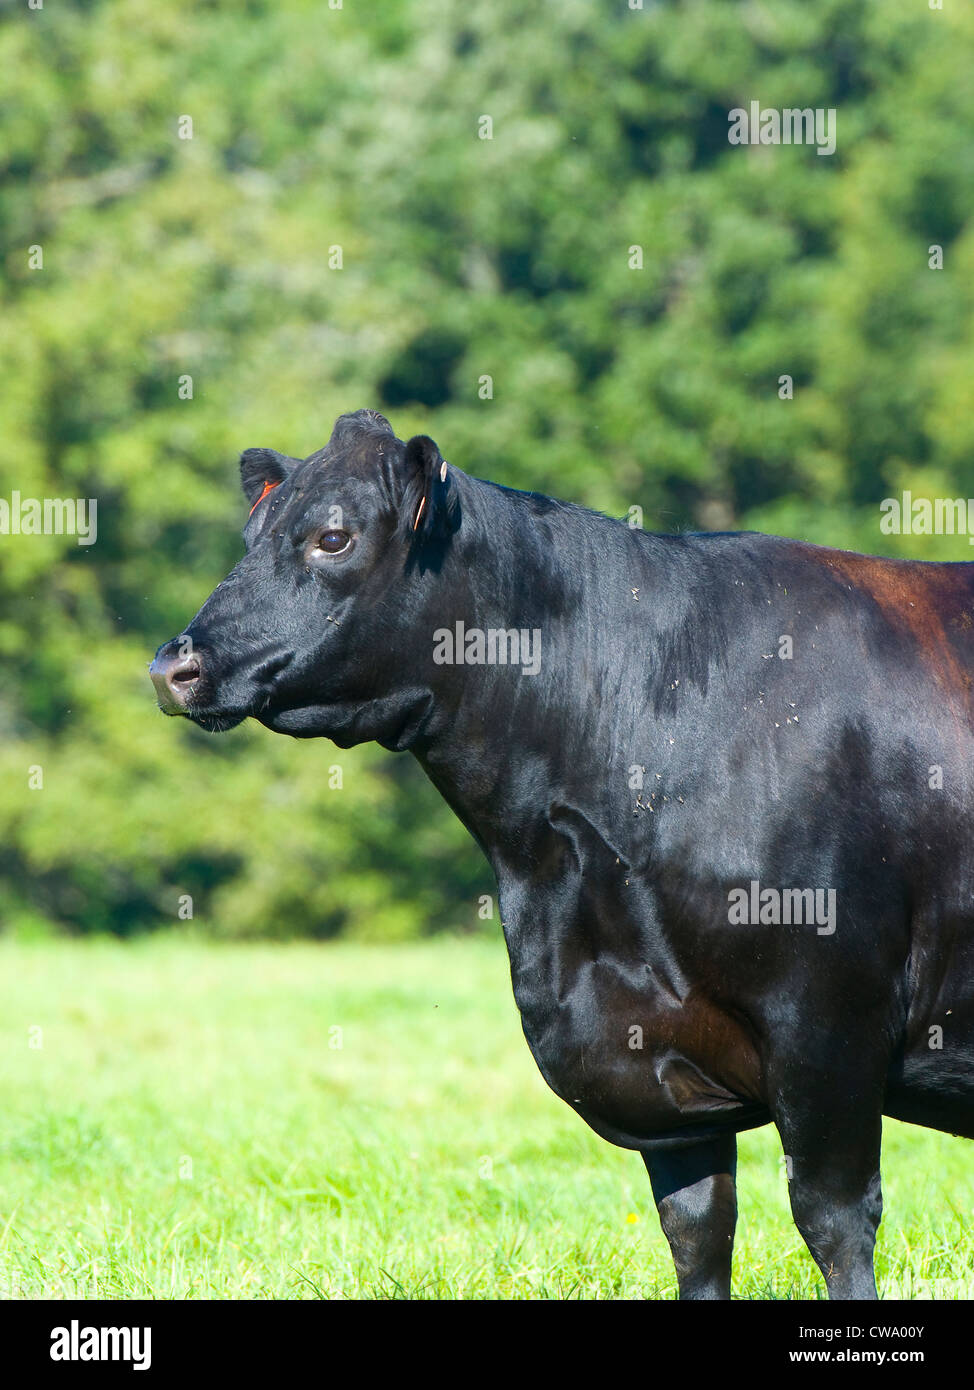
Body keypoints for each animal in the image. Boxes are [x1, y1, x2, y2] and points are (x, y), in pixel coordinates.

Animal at [150, 408, 974, 1300]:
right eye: (252, 531)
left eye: (332, 537)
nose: (172, 666)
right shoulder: (652, 1069)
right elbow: (697, 1234)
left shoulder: (829, 1022)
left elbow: (833, 1222)